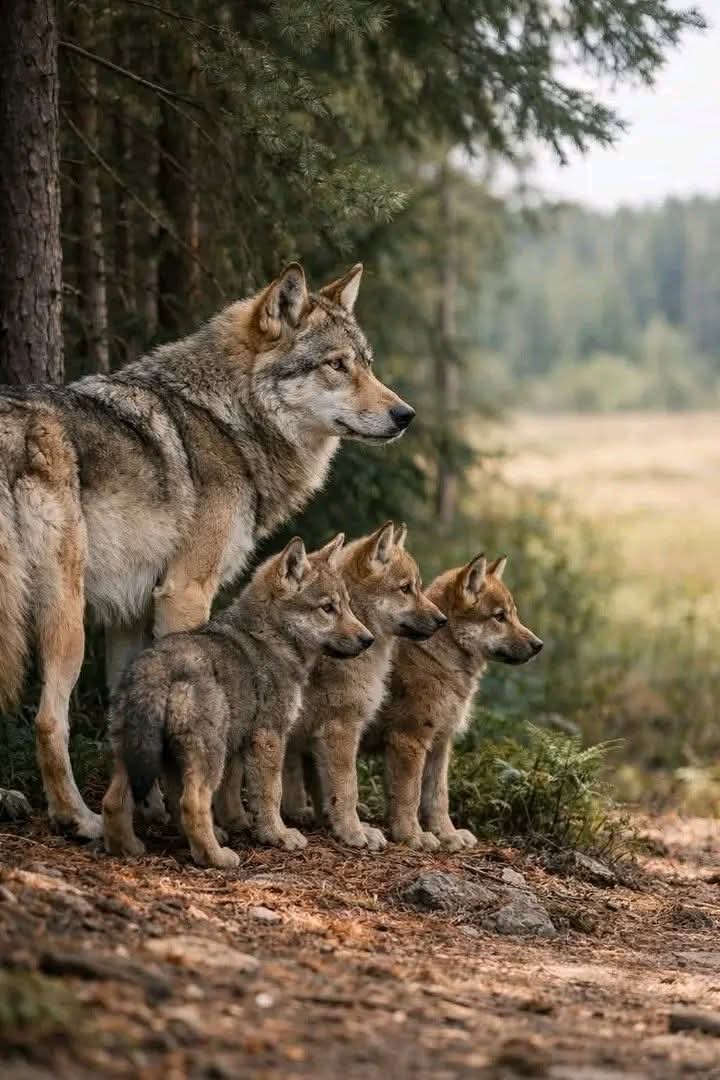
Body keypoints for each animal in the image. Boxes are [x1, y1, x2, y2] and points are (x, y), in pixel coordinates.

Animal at [102, 534, 373, 867]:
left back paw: (127, 848)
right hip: (208, 754)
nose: (368, 639)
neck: (271, 638)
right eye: (328, 608)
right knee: (192, 803)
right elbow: (271, 794)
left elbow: (238, 795)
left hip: (141, 754)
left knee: (113, 801)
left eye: (346, 605)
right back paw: (216, 858)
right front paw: (279, 836)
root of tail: (156, 665)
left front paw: (246, 827)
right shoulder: (269, 737)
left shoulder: (241, 745)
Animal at [281, 522, 446, 849]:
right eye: (406, 588)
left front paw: (334, 826)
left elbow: (327, 793)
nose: (442, 619)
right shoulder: (340, 731)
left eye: (418, 586)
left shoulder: (319, 739)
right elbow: (348, 790)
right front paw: (356, 833)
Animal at [370, 553, 542, 851]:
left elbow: (438, 798)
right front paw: (412, 836)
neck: (438, 660)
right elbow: (409, 796)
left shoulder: (441, 744)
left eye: (514, 614)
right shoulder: (409, 741)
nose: (539, 645)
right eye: (499, 617)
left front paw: (447, 835)